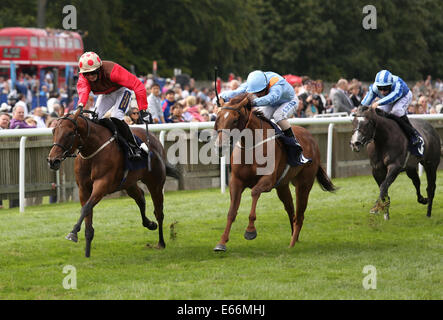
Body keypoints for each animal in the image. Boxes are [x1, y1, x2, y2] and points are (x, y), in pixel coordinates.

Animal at [47, 108, 180, 258]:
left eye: (70, 133)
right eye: (53, 131)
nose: (52, 160)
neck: (92, 150)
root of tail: (154, 138)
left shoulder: (102, 184)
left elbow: (86, 208)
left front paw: (73, 233)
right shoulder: (83, 189)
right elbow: (87, 214)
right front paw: (87, 252)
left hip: (155, 183)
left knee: (159, 212)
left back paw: (161, 242)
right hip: (128, 183)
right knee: (140, 197)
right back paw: (149, 224)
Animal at [213, 92, 334, 252]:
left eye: (234, 120)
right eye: (218, 118)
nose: (220, 146)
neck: (252, 146)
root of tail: (311, 138)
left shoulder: (268, 180)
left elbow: (255, 192)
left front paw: (250, 230)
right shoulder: (236, 181)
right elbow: (232, 212)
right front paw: (221, 242)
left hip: (304, 184)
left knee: (300, 214)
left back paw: (292, 244)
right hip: (282, 186)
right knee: (291, 210)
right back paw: (294, 237)